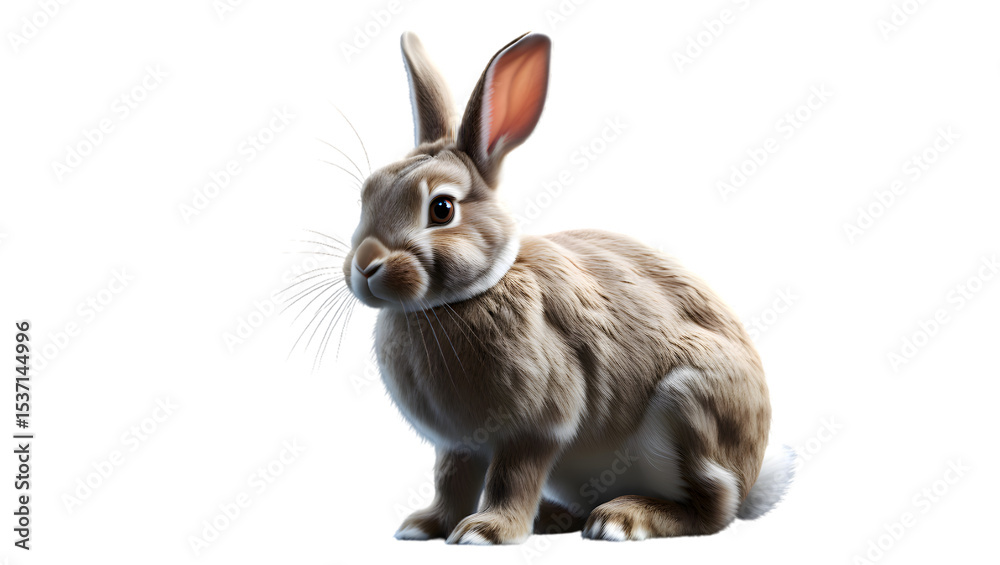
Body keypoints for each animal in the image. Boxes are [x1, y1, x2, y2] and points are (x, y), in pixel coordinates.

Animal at [341, 31, 794, 544]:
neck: (459, 299)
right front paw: (425, 526)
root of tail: (753, 474)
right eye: (367, 194)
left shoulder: (537, 427)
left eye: (441, 209)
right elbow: (450, 480)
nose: (365, 266)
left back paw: (621, 519)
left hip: (689, 406)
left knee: (711, 509)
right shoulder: (457, 446)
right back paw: (556, 519)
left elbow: (512, 476)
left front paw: (486, 531)